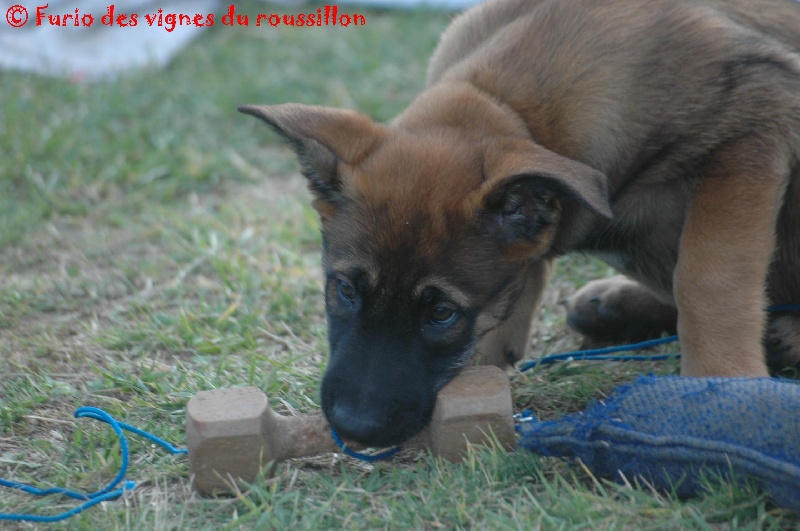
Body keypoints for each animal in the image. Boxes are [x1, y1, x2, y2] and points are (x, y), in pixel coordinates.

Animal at [239, 0, 800, 448]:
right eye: (345, 290)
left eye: (441, 313)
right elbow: (522, 281)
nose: (354, 428)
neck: (504, 103)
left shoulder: (754, 128)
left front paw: (721, 386)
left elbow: (708, 274)